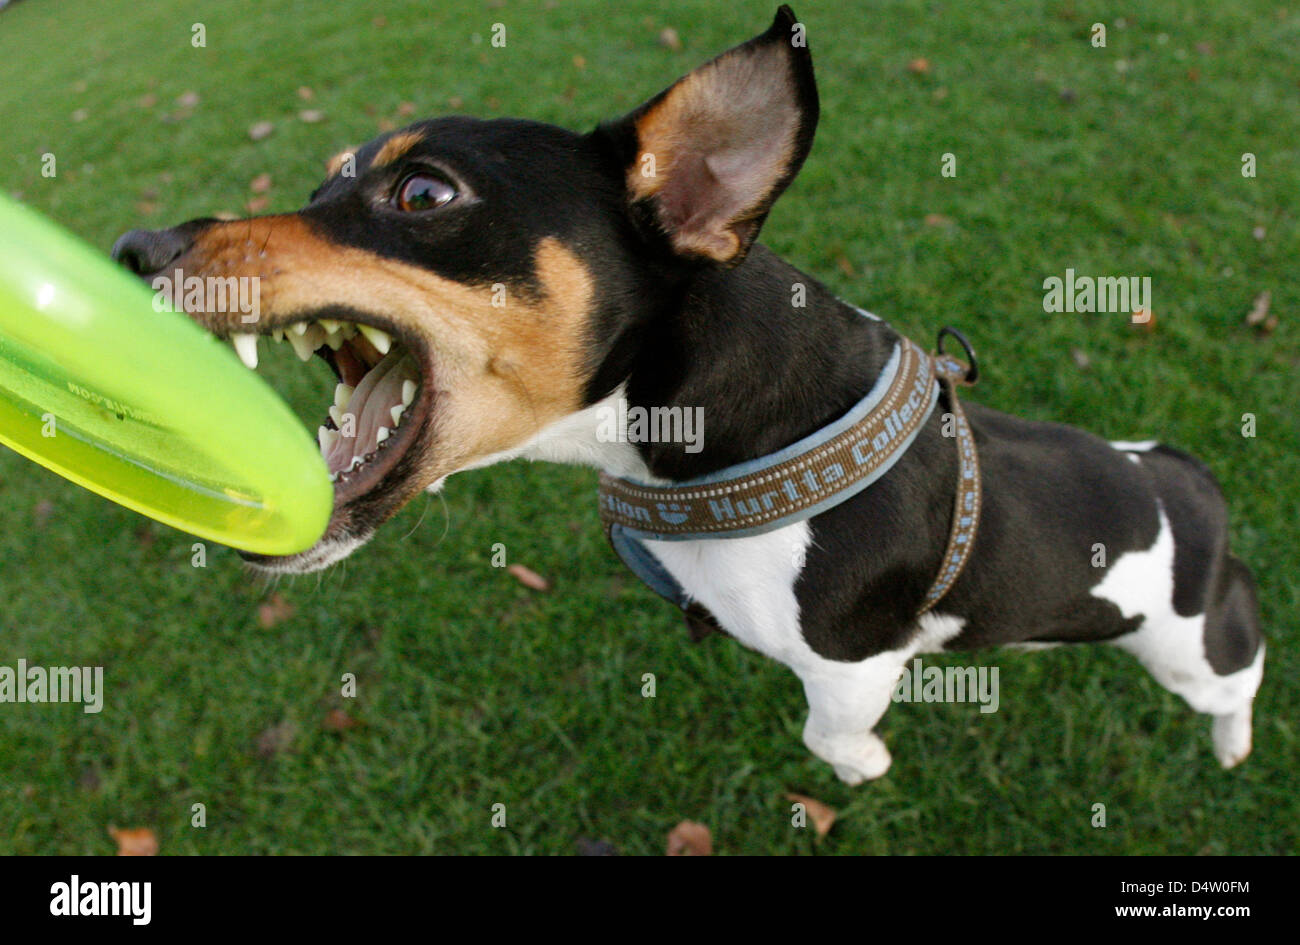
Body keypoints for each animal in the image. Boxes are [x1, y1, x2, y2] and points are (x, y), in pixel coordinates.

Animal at [106, 9, 1263, 785]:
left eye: (422, 191)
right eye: (318, 187)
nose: (134, 247)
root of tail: (1187, 482)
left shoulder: (851, 665)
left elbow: (830, 735)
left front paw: (865, 772)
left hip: (1188, 645)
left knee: (1239, 659)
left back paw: (1234, 739)